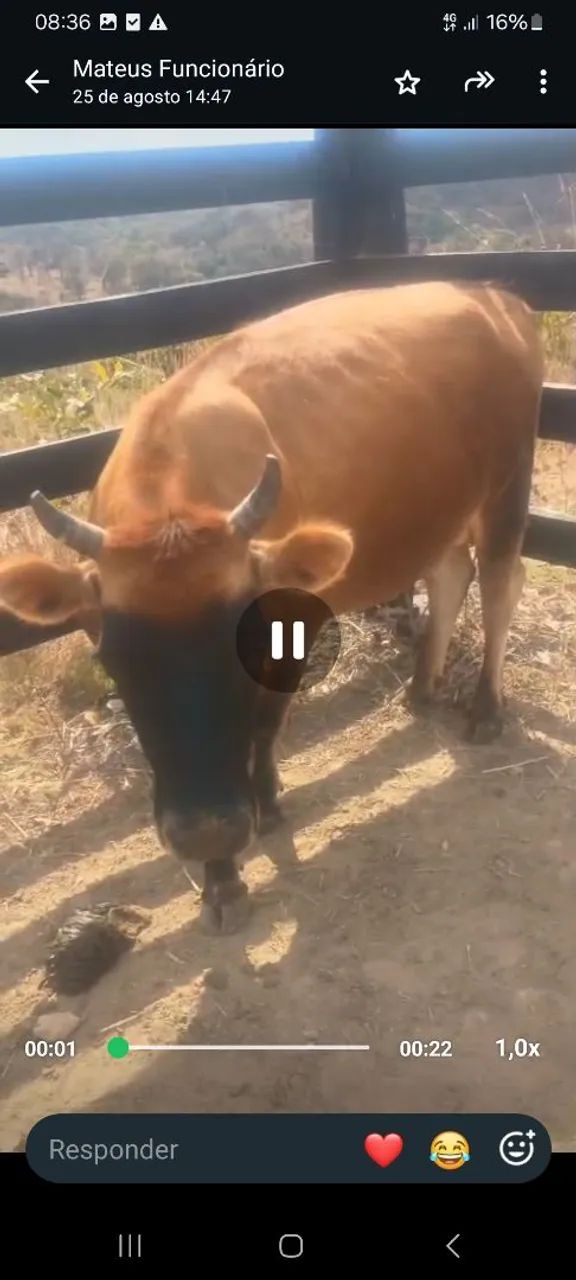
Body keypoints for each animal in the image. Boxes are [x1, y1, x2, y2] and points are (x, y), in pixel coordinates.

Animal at [0, 282, 543, 932]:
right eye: (116, 661)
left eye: (250, 640)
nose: (205, 832)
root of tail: (494, 295)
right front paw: (220, 877)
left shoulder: (298, 615)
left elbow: (263, 720)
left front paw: (257, 814)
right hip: (444, 504)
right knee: (449, 572)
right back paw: (421, 687)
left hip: (508, 483)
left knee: (500, 584)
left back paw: (485, 708)